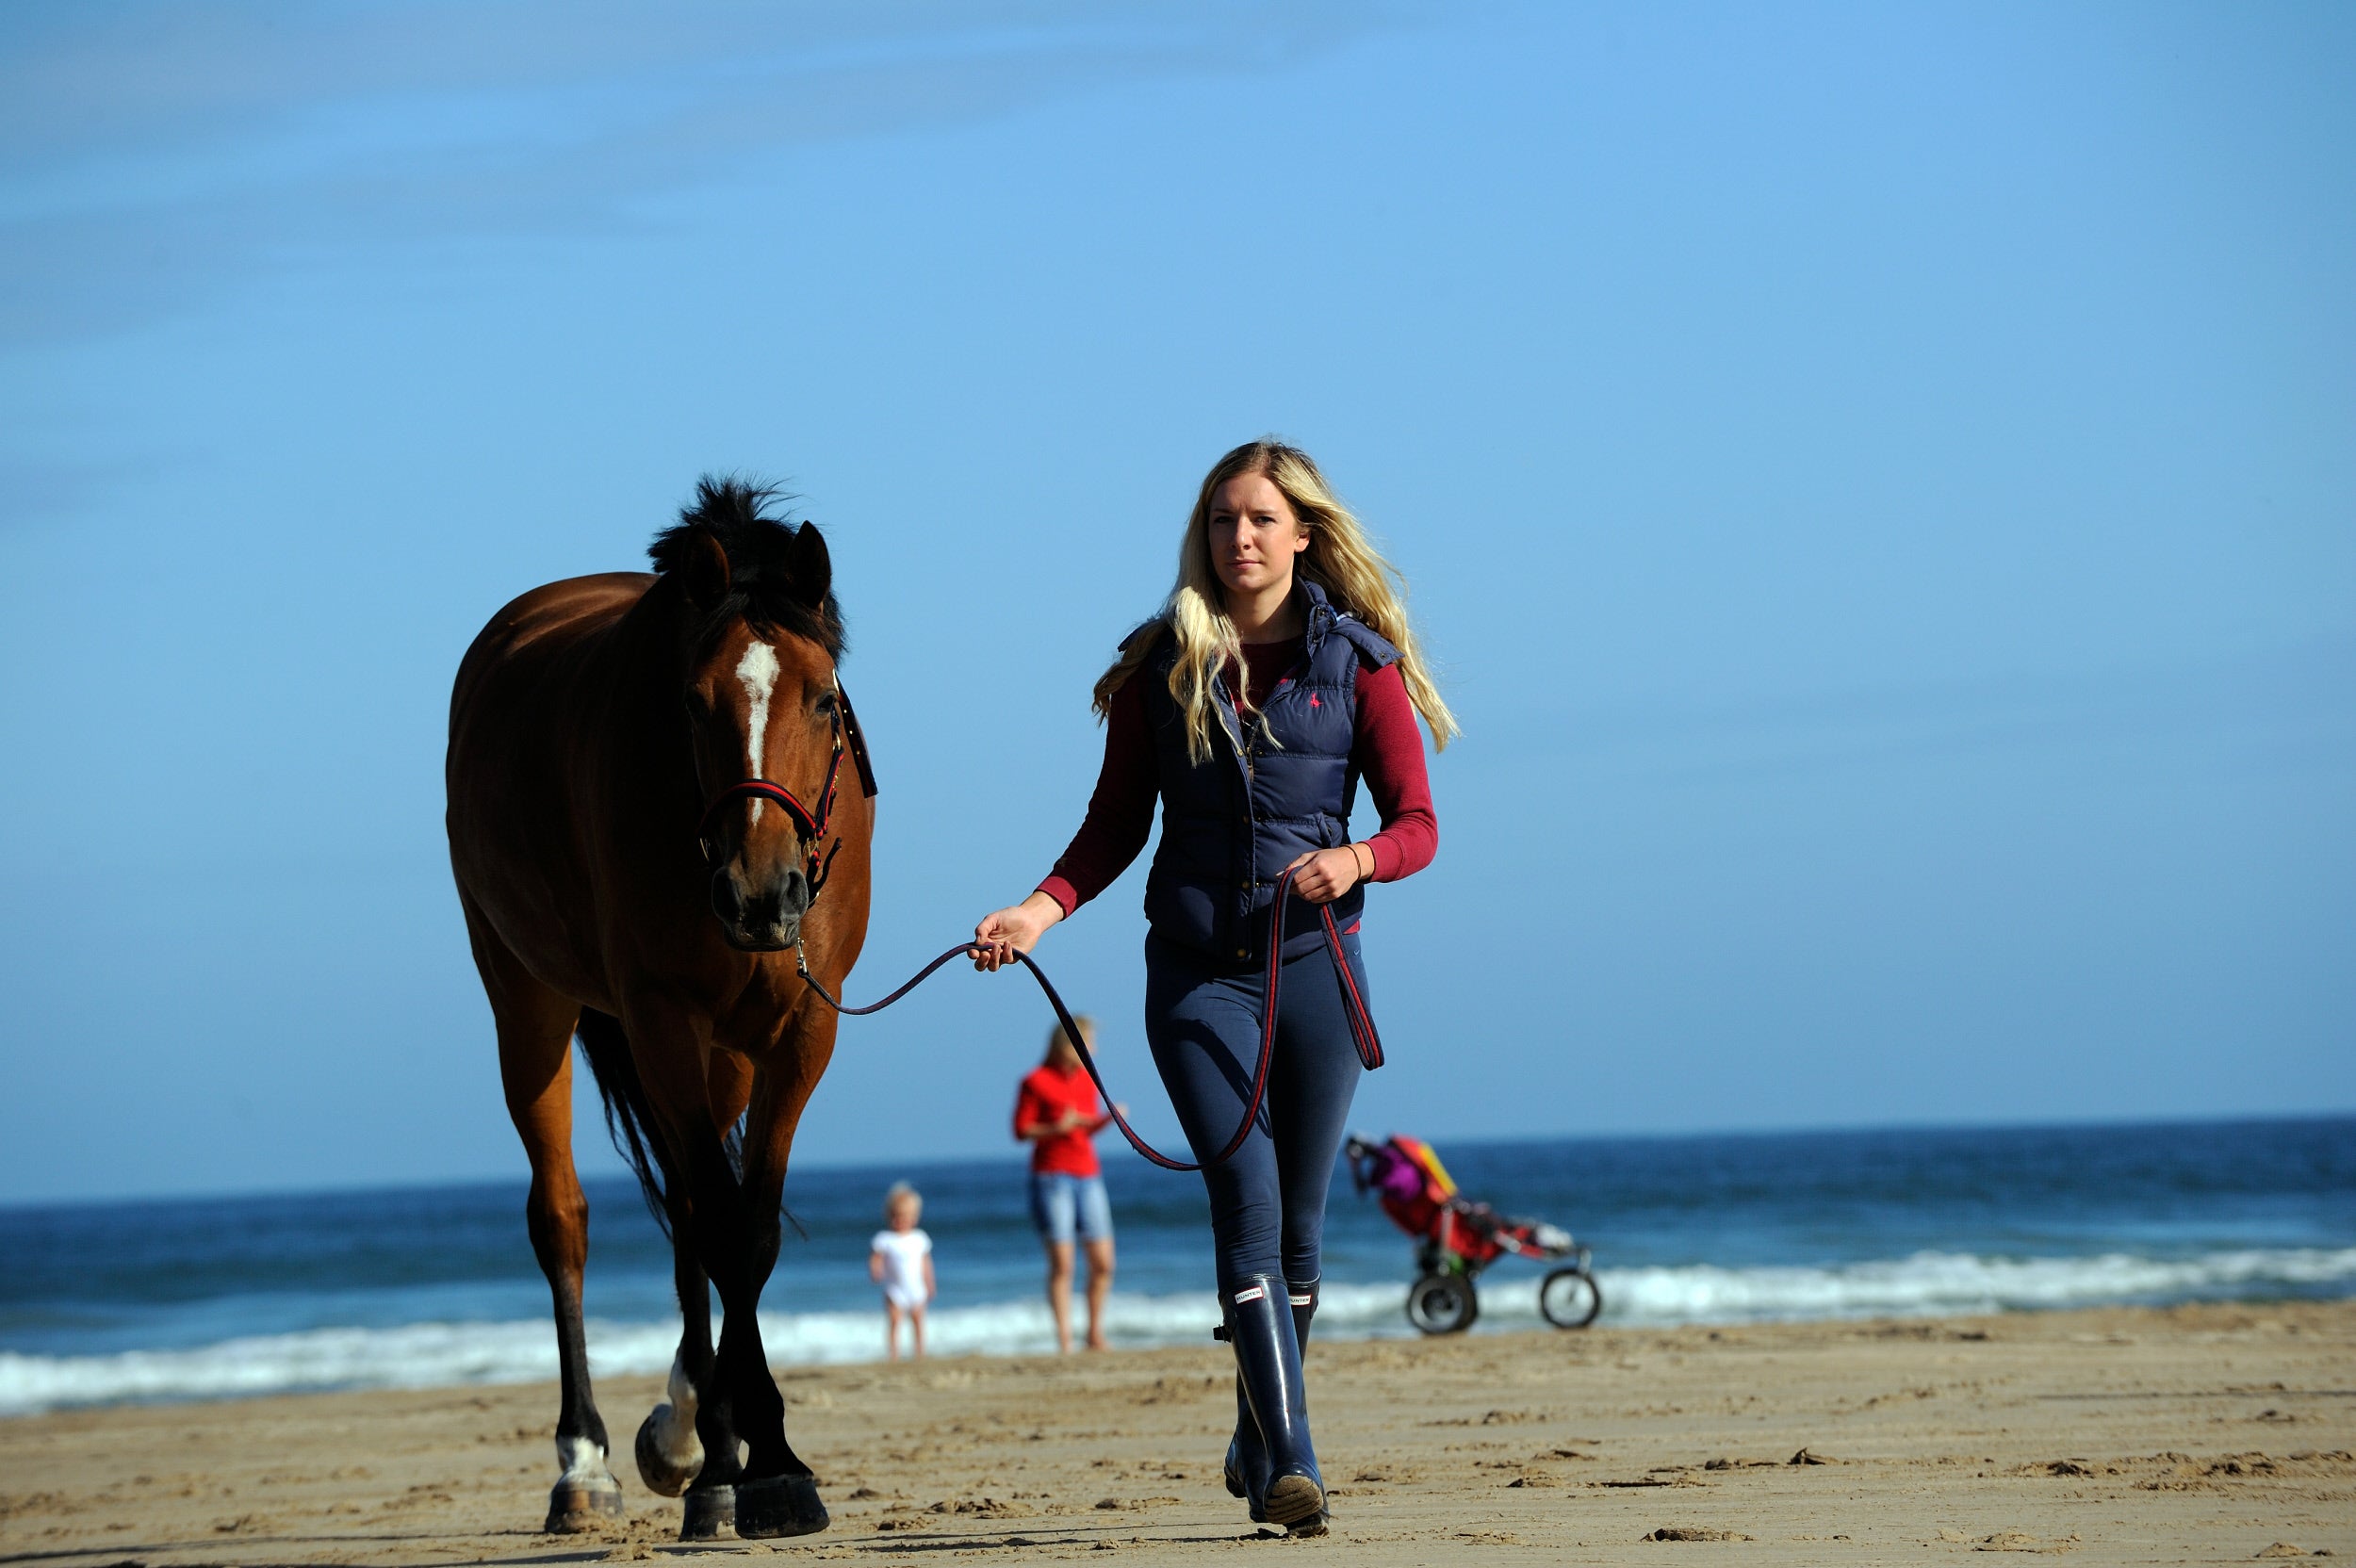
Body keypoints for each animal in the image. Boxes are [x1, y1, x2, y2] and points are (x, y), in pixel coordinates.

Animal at [445, 478, 876, 1541]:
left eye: (824, 698)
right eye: (691, 700)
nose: (760, 894)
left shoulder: (800, 1032)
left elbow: (744, 1233)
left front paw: (745, 1456)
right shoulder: (661, 1020)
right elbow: (721, 1229)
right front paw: (766, 1464)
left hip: (719, 1059)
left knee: (687, 1211)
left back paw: (696, 1446)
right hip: (529, 1002)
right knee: (563, 1218)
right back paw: (584, 1463)